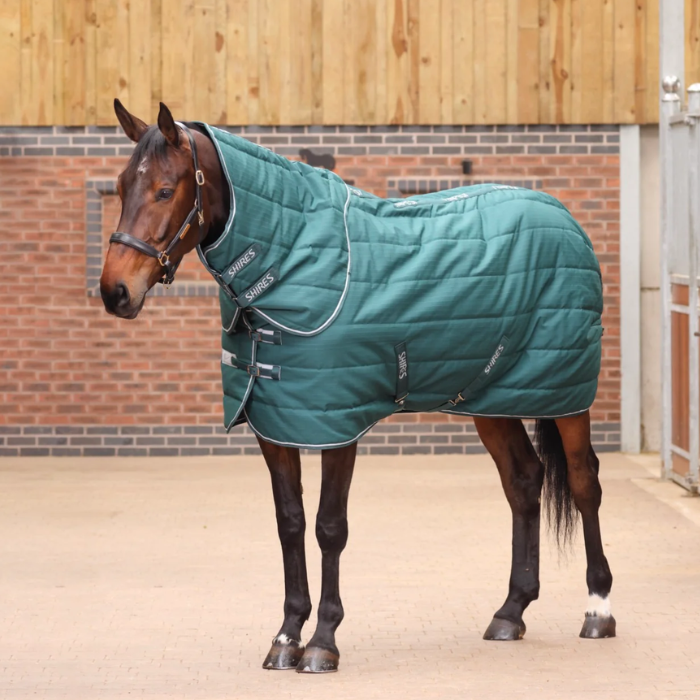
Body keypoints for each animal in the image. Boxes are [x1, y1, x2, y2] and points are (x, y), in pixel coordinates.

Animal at [99, 99, 615, 674]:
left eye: (166, 190)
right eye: (120, 186)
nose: (115, 291)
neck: (290, 258)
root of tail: (565, 219)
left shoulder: (337, 422)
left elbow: (329, 526)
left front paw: (323, 642)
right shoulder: (274, 425)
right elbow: (290, 523)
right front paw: (286, 638)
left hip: (566, 398)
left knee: (583, 482)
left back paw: (598, 610)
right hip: (489, 400)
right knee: (524, 482)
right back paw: (511, 612)